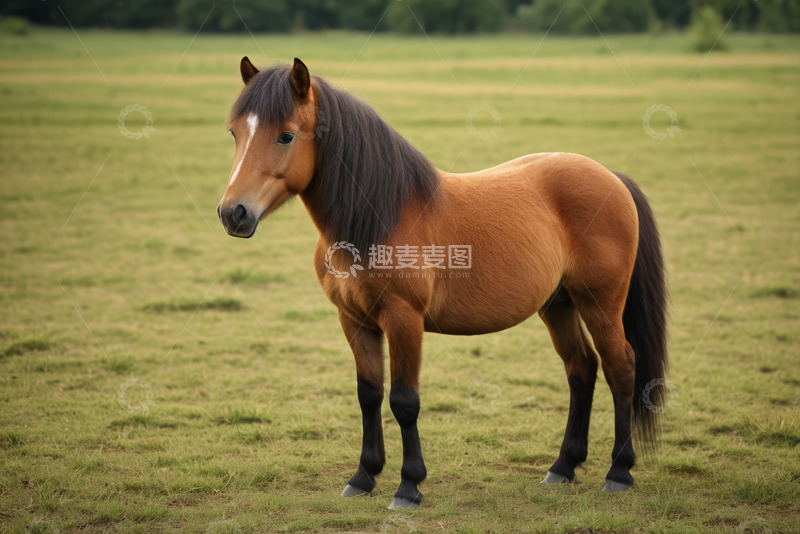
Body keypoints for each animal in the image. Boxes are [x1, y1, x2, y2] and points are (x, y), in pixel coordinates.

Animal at [217, 57, 668, 510]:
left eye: (286, 135)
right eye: (235, 132)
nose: (233, 213)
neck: (377, 218)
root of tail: (611, 177)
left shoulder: (403, 320)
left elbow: (404, 401)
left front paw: (408, 486)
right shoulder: (354, 320)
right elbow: (368, 394)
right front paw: (363, 477)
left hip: (601, 303)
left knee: (620, 367)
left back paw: (618, 471)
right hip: (558, 305)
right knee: (581, 368)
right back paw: (562, 467)